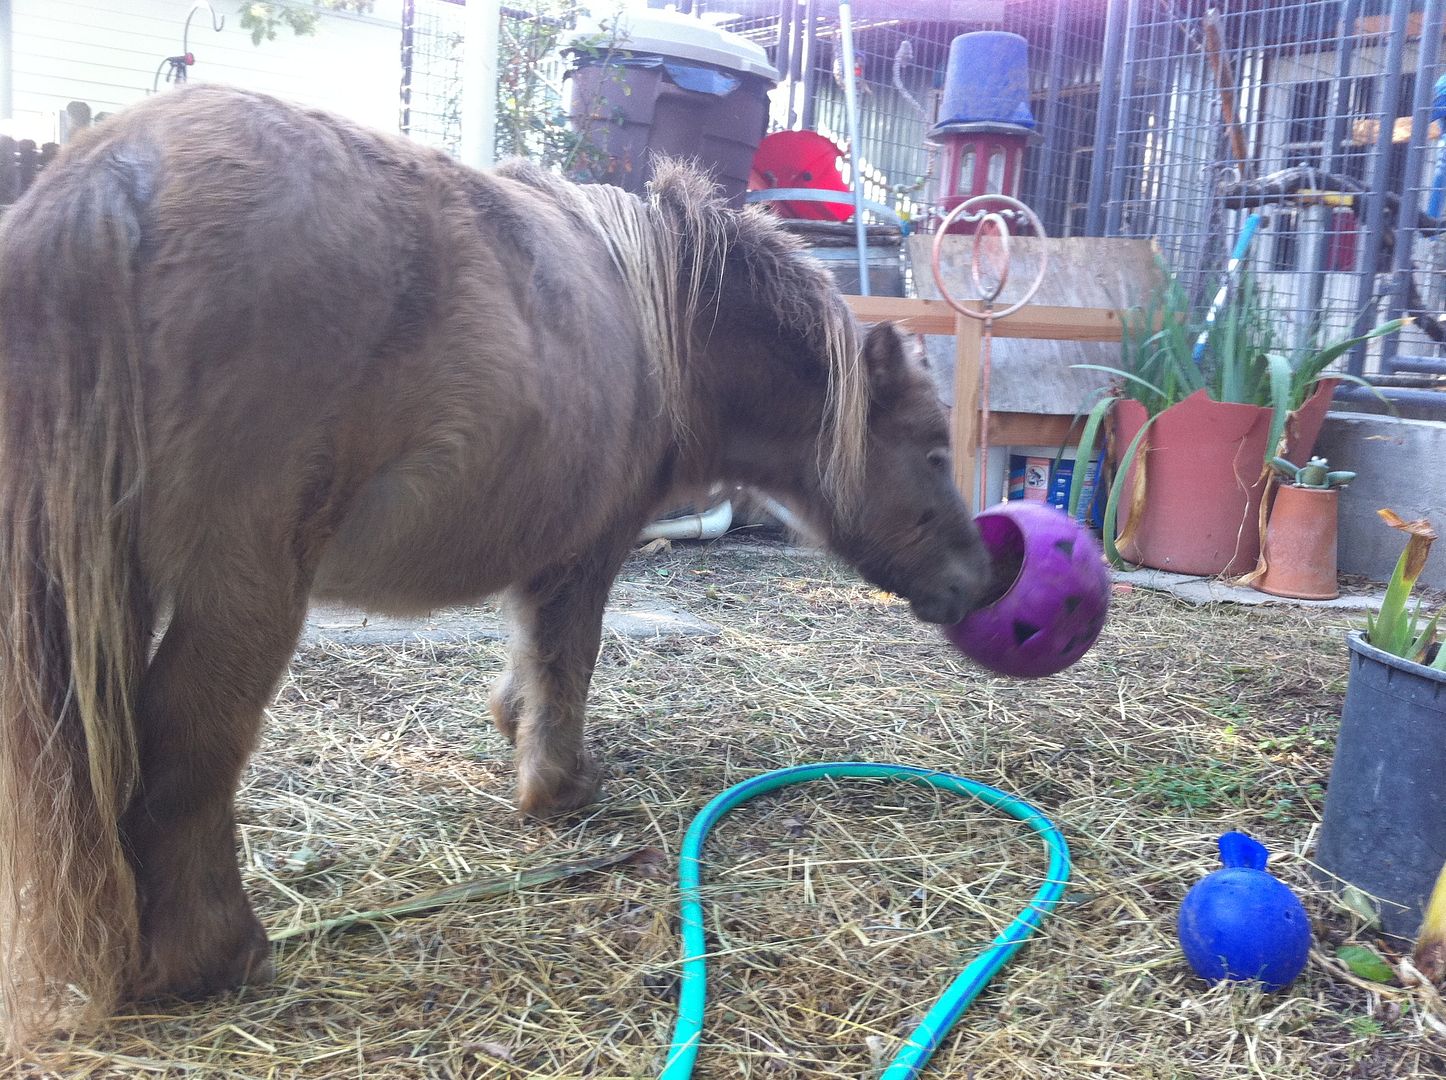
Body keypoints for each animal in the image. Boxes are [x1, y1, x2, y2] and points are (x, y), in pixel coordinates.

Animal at [0, 85, 996, 1047]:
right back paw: (221, 957)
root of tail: (114, 172)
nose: (977, 580)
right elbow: (568, 660)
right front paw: (560, 786)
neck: (665, 326)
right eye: (932, 451)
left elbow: (530, 659)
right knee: (186, 752)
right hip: (245, 592)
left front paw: (514, 730)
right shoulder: (589, 554)